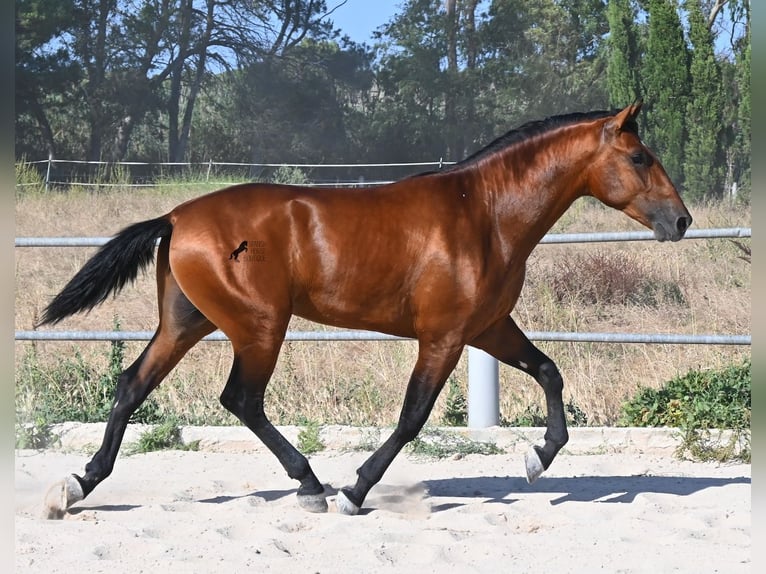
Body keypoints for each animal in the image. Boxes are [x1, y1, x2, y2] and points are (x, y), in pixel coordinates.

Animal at [39, 101, 691, 518]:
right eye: (640, 158)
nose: (681, 220)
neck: (484, 213)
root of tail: (175, 217)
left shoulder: (488, 329)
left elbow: (551, 372)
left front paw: (537, 459)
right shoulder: (444, 337)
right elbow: (412, 417)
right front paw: (356, 492)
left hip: (187, 322)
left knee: (132, 385)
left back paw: (76, 485)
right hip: (258, 326)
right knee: (241, 399)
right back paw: (311, 485)